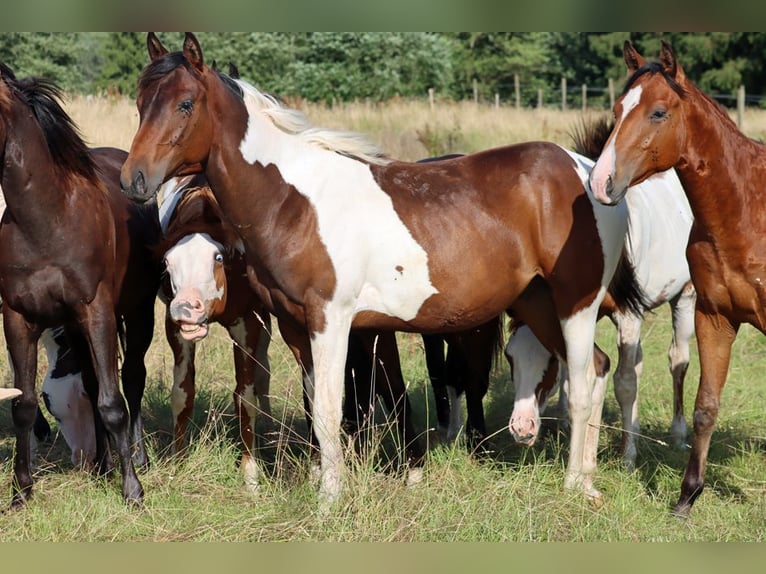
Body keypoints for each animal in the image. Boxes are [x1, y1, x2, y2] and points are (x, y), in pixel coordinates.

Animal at [0, 62, 162, 507]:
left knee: (131, 378)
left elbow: (113, 402)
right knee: (90, 383)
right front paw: (22, 491)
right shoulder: (18, 318)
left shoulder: (99, 312)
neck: (46, 220)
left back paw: (136, 458)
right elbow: (23, 405)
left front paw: (133, 491)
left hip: (137, 313)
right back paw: (103, 464)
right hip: (75, 326)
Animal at [120, 32, 646, 508]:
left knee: (581, 382)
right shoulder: (295, 326)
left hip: (576, 303)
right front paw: (321, 481)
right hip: (538, 303)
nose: (134, 180)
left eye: (185, 103)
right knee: (597, 369)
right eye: (141, 103)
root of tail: (586, 171)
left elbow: (329, 408)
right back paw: (586, 481)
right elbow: (315, 405)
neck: (294, 201)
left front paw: (329, 500)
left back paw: (574, 485)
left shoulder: (332, 321)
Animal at [587, 40, 766, 517]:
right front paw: (687, 495)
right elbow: (705, 406)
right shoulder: (714, 317)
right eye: (617, 108)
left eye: (659, 112)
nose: (600, 181)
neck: (747, 210)